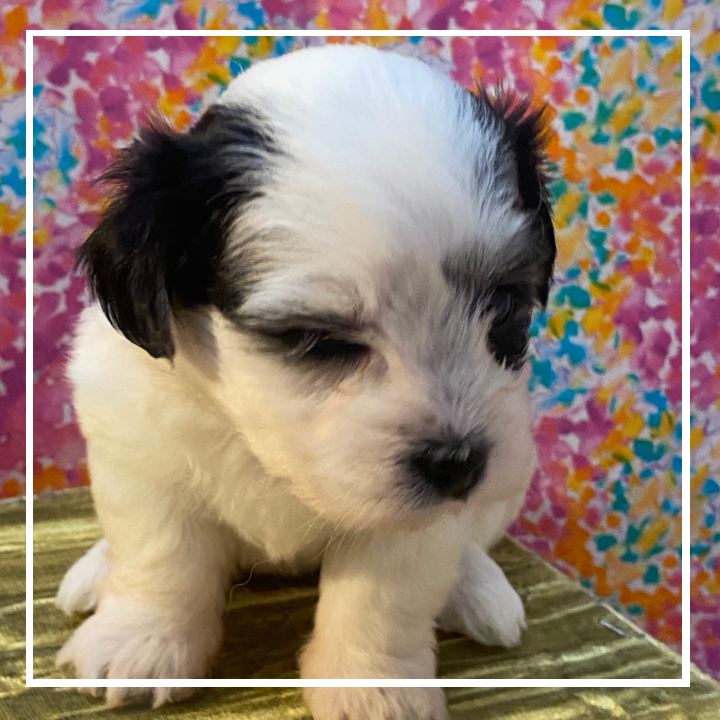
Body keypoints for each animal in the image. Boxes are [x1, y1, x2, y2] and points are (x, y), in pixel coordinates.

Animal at [56, 45, 556, 720]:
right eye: (317, 340)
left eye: (505, 309)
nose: (459, 463)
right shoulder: (143, 456)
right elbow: (160, 556)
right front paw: (142, 642)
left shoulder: (413, 519)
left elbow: (381, 598)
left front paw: (374, 690)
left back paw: (476, 589)